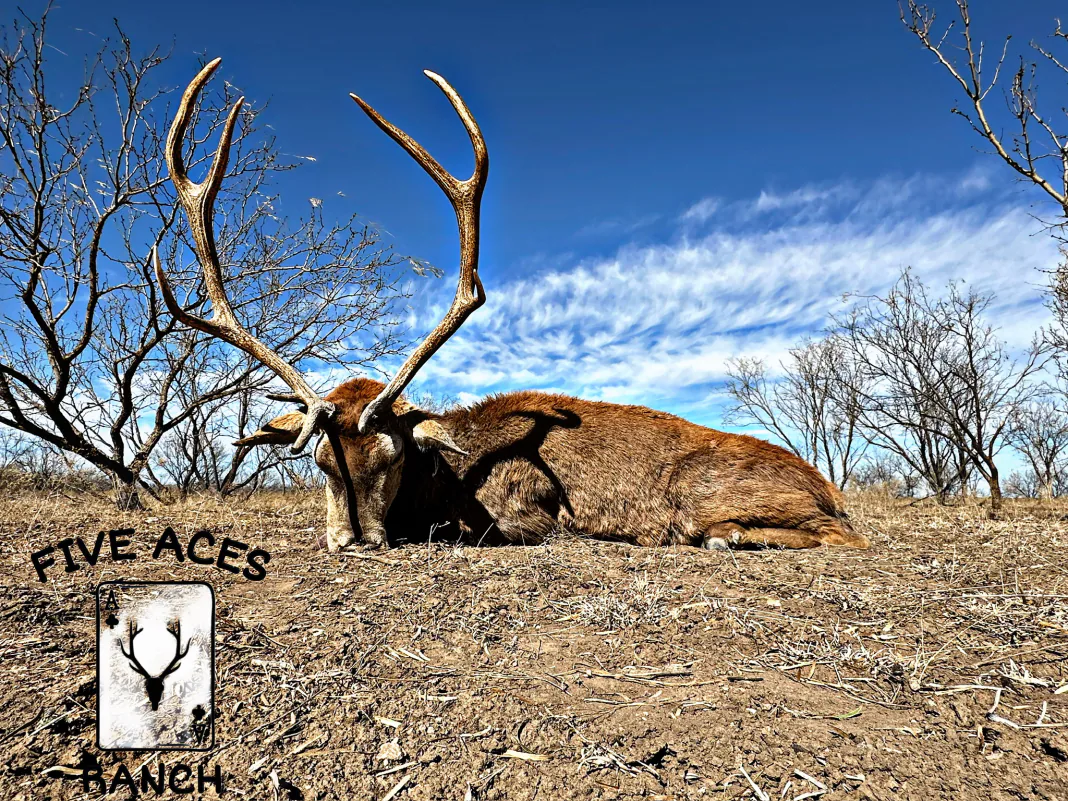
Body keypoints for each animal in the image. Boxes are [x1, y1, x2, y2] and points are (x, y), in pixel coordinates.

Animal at [153, 60, 870, 554]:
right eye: (322, 463)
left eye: (391, 458)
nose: (353, 539)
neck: (449, 475)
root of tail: (831, 486)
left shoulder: (531, 507)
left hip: (707, 493)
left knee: (842, 535)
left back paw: (727, 535)